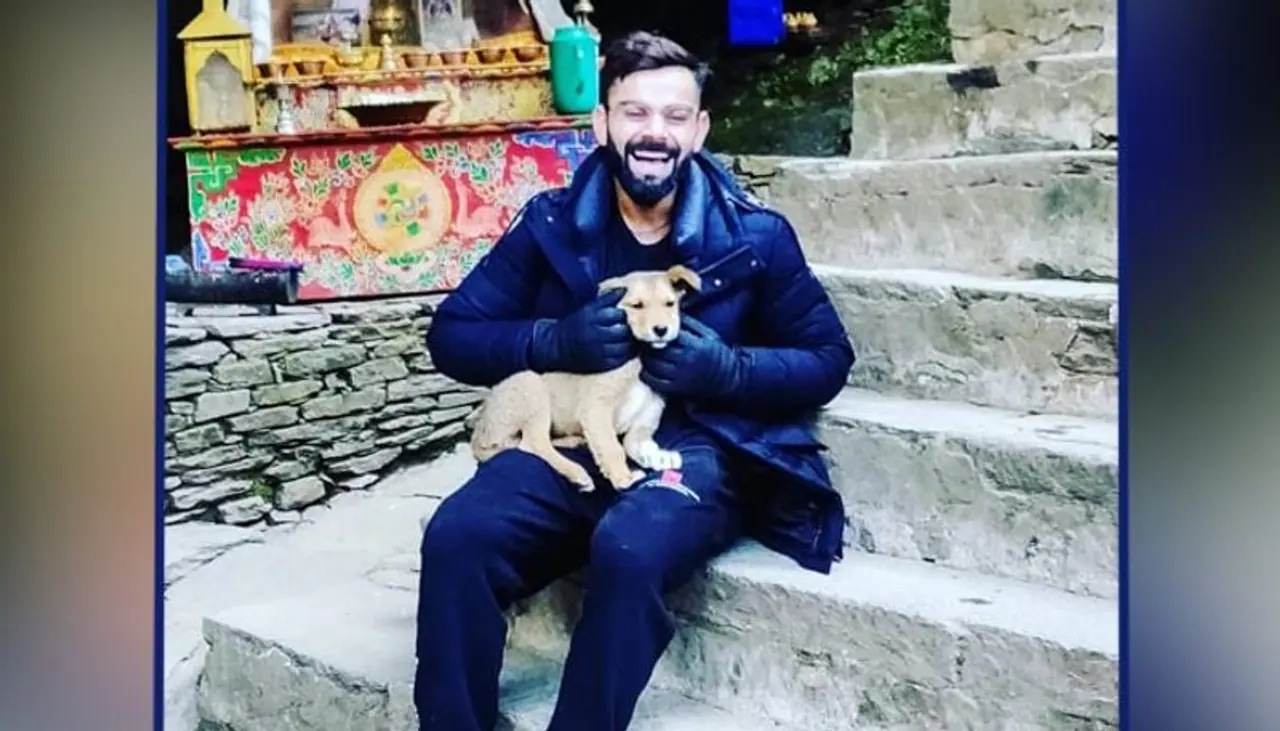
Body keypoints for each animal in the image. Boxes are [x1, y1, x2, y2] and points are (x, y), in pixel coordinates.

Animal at [468, 265, 701, 491]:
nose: (661, 330)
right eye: (637, 306)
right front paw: (623, 479)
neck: (639, 357)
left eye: (670, 304)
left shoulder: (643, 421)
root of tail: (479, 433)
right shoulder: (595, 408)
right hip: (531, 387)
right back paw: (577, 474)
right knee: (534, 443)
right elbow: (612, 447)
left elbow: (640, 445)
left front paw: (660, 457)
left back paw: (573, 441)